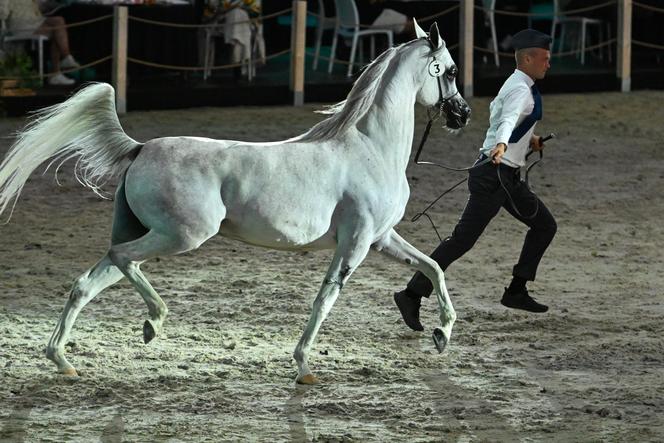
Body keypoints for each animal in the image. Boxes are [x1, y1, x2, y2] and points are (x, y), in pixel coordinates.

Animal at [0, 20, 470, 386]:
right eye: (449, 70)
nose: (463, 114)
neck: (370, 147)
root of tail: (140, 148)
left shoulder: (381, 237)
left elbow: (434, 266)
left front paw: (442, 334)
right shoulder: (355, 243)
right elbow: (325, 299)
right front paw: (304, 368)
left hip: (149, 234)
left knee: (88, 280)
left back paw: (63, 361)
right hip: (182, 235)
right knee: (121, 259)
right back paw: (153, 321)